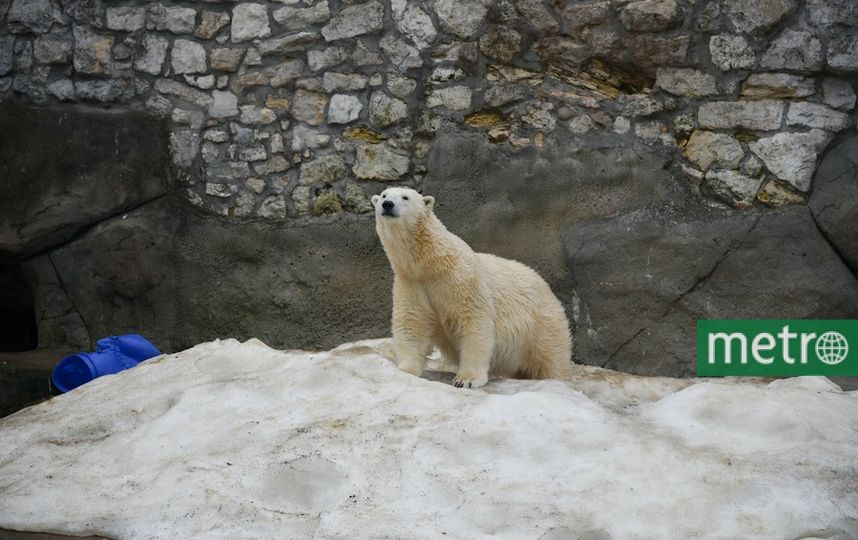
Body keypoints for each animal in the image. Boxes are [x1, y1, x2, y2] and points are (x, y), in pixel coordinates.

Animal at [368, 187, 568, 388]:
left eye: (405, 197)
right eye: (384, 195)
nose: (387, 204)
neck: (430, 264)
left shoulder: (462, 278)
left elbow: (474, 321)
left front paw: (466, 379)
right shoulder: (412, 283)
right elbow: (412, 322)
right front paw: (405, 370)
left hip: (542, 327)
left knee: (552, 360)